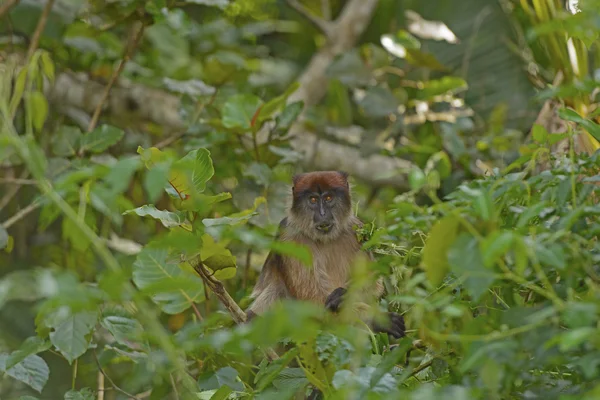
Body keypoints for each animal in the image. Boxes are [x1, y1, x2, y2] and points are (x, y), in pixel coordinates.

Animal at [246, 170, 406, 340]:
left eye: (329, 198)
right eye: (313, 200)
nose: (322, 213)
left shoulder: (356, 229)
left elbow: (374, 284)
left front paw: (342, 295)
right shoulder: (289, 238)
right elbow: (314, 303)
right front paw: (378, 319)